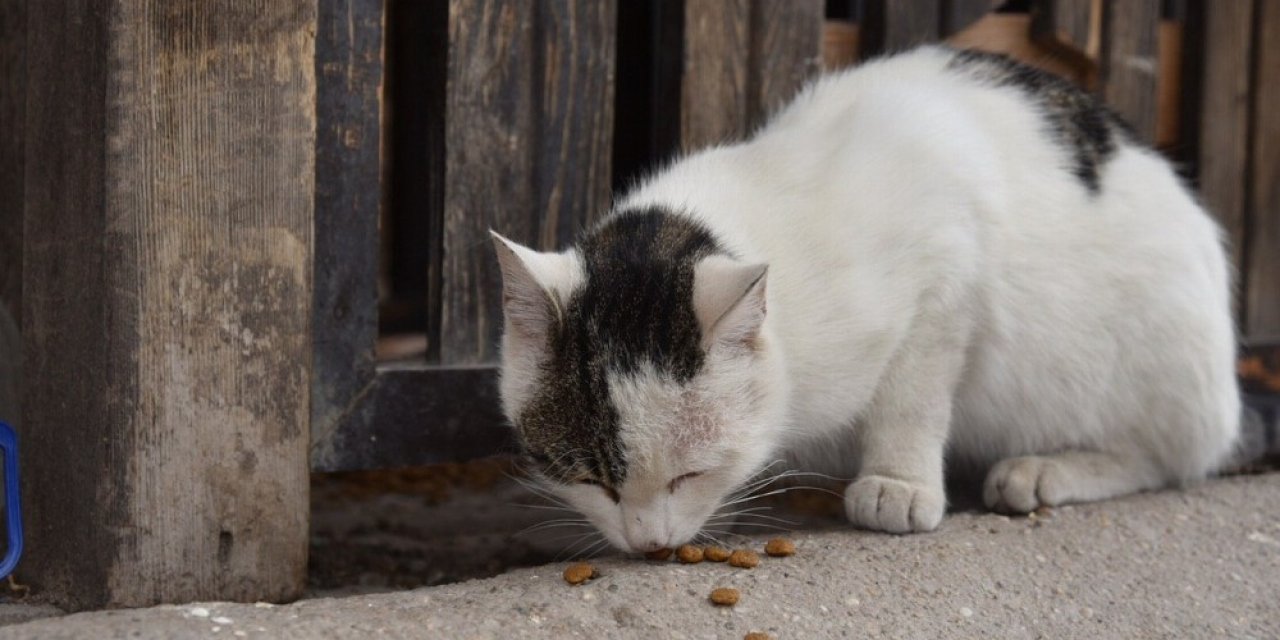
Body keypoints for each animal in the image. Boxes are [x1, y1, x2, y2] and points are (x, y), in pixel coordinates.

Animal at [491, 47, 1249, 552]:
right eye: (590, 479)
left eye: (689, 474)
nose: (648, 543)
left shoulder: (948, 268)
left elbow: (913, 394)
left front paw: (897, 482)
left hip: (1153, 358)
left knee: (1168, 458)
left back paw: (1047, 470)